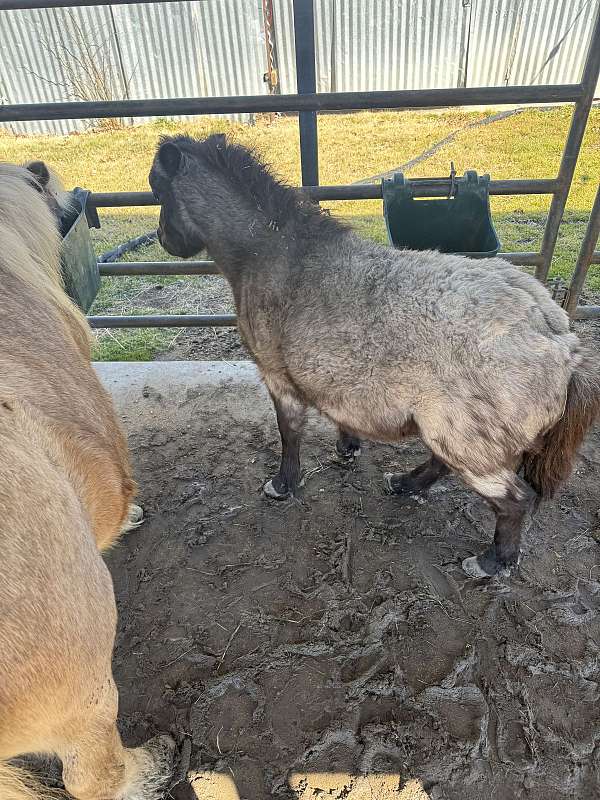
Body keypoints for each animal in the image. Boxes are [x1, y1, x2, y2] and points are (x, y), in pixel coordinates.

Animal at [149, 133, 600, 580]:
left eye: (159, 190)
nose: (164, 239)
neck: (270, 252)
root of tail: (562, 343)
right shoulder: (332, 378)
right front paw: (347, 447)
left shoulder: (278, 377)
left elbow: (288, 433)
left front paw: (283, 484)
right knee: (444, 465)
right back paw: (406, 485)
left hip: (464, 437)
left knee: (514, 500)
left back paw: (492, 561)